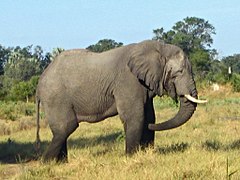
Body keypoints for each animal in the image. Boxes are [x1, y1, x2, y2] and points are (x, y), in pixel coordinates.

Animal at [35, 40, 206, 162]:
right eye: (179, 72)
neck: (158, 47)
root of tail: (39, 83)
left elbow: (149, 116)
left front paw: (146, 151)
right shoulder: (128, 81)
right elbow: (136, 117)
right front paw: (131, 157)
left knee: (62, 130)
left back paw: (60, 163)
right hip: (55, 97)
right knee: (66, 128)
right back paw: (46, 162)